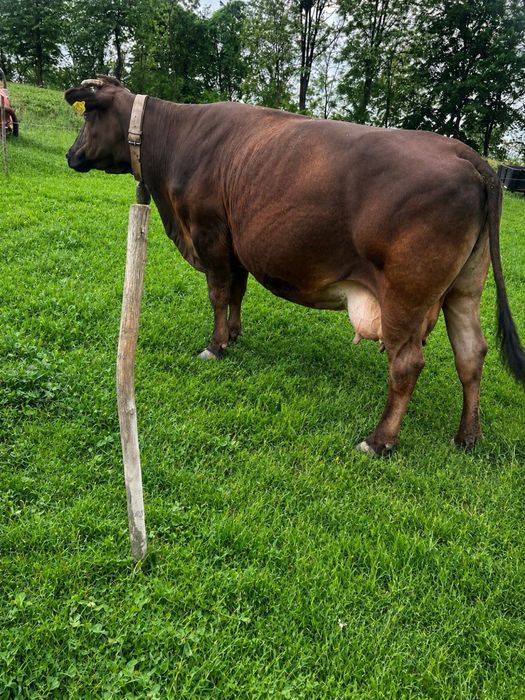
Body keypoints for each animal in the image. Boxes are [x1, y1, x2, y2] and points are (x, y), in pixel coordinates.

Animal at [65, 75, 524, 455]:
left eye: (87, 118)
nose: (70, 155)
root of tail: (466, 154)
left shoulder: (210, 235)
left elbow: (218, 293)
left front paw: (215, 345)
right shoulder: (236, 243)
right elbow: (237, 292)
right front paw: (234, 335)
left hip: (407, 294)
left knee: (407, 363)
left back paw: (378, 441)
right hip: (465, 287)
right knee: (471, 352)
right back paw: (467, 436)